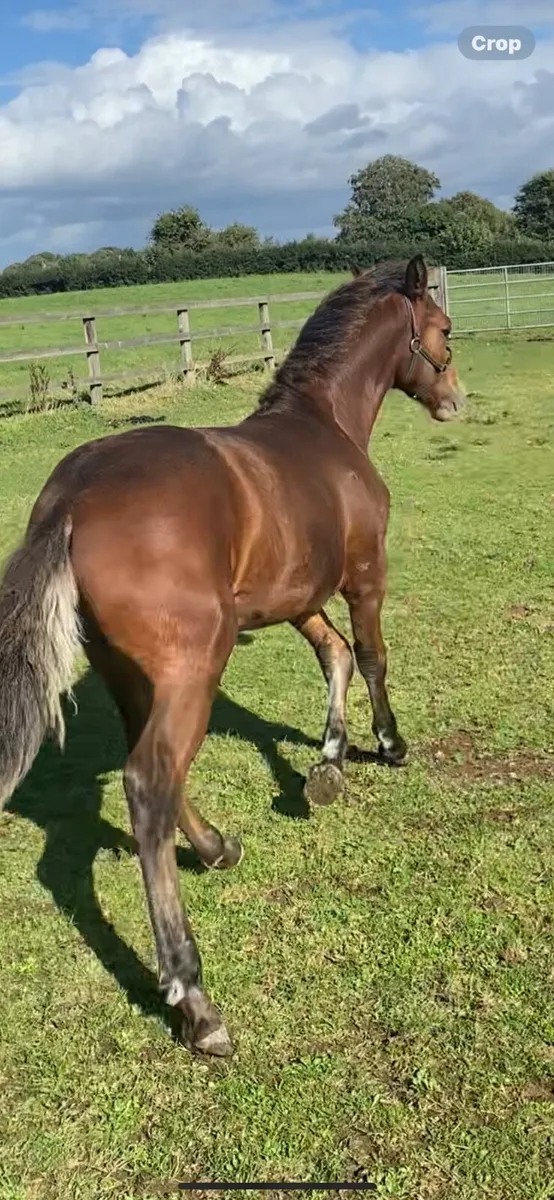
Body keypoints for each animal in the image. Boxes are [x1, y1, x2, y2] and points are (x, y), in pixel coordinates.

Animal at [0, 254, 464, 1057]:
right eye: (439, 328)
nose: (454, 400)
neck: (326, 430)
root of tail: (71, 499)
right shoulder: (364, 576)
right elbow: (371, 654)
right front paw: (388, 745)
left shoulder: (296, 596)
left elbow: (334, 656)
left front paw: (327, 767)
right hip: (196, 663)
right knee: (149, 782)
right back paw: (194, 998)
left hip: (134, 673)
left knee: (153, 770)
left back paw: (216, 848)